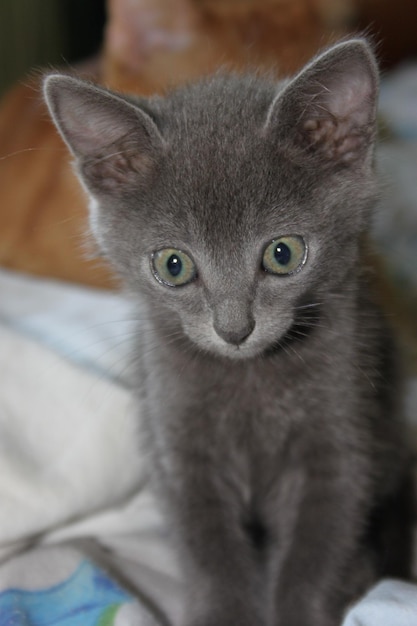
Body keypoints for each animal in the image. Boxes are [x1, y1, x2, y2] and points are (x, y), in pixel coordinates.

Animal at [43, 39, 412, 624]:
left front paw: (303, 609)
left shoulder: (342, 432)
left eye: (282, 254)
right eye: (173, 265)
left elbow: (318, 546)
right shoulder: (178, 442)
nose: (234, 329)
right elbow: (209, 549)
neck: (251, 381)